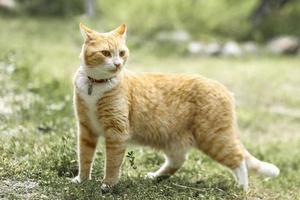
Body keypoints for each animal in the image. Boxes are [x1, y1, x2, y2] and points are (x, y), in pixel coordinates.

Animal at [71, 22, 280, 191]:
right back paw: (155, 177)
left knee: (238, 160)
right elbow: (85, 157)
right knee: (178, 160)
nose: (117, 64)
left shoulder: (116, 132)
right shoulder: (86, 130)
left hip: (214, 138)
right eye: (106, 53)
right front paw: (82, 180)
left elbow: (112, 163)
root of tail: (222, 87)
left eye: (122, 53)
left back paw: (242, 188)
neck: (95, 85)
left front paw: (108, 185)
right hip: (173, 139)